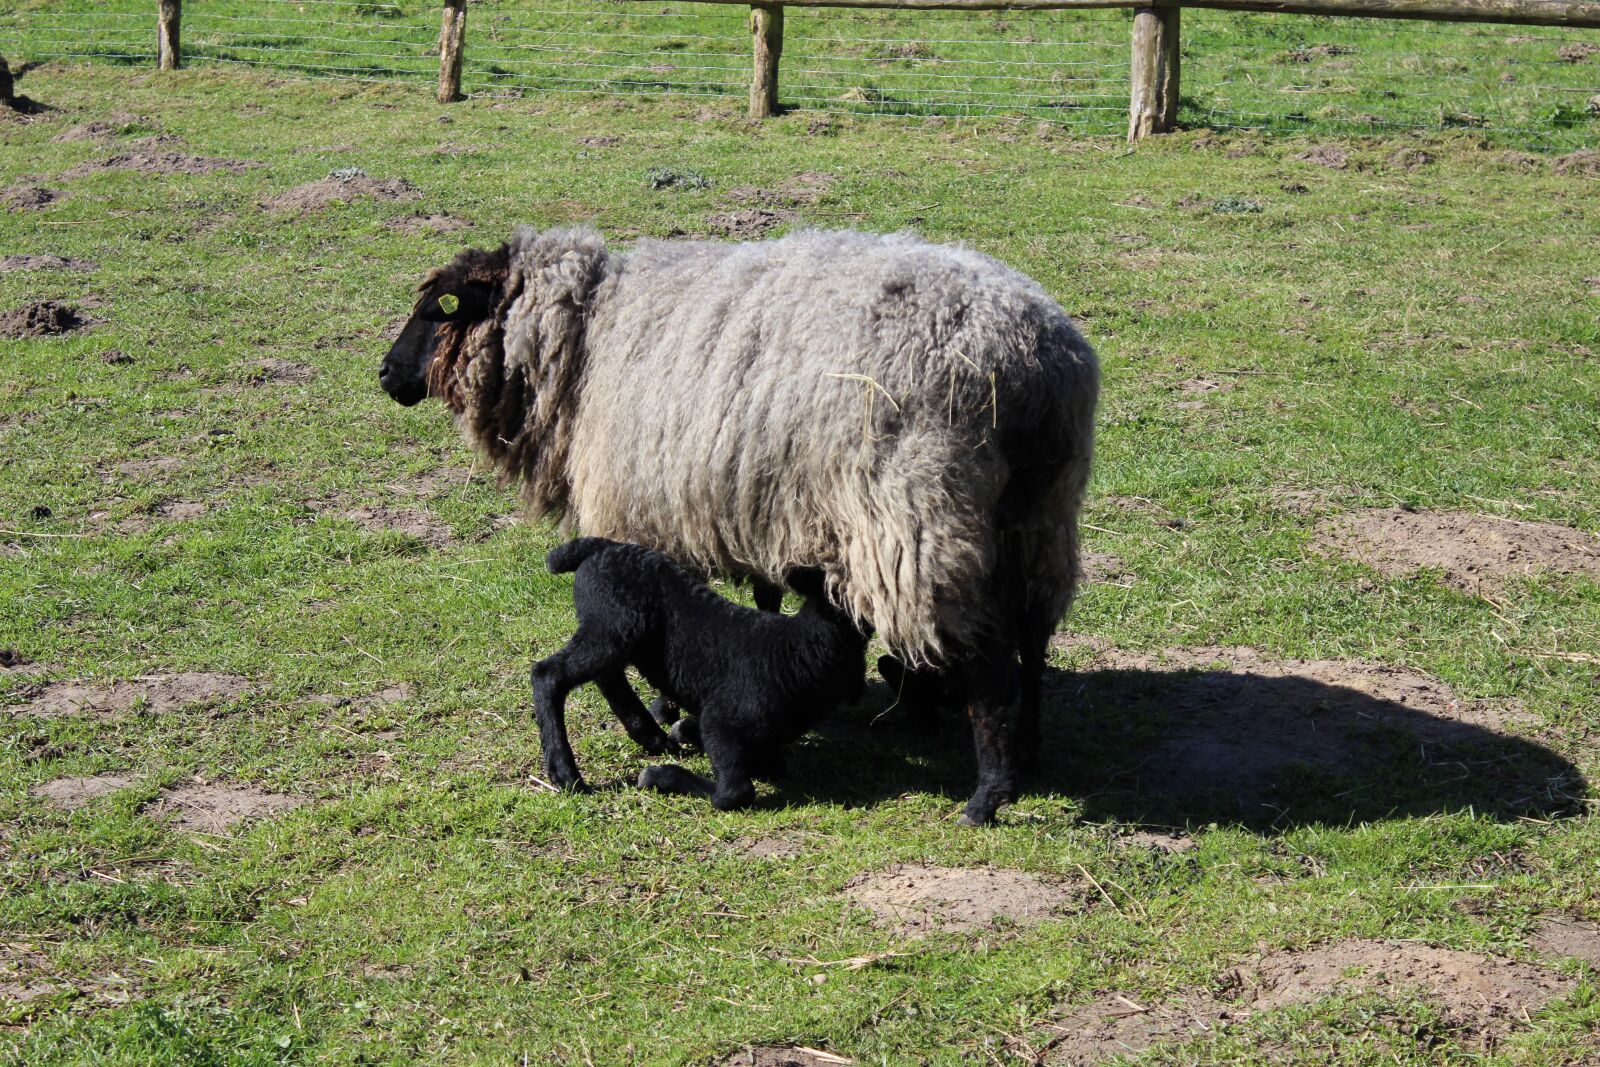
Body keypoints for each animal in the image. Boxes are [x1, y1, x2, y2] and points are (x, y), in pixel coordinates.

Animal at [534, 537, 868, 809]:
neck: (798, 647)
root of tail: (602, 547)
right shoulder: (721, 723)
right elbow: (733, 794)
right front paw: (659, 776)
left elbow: (767, 765)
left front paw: (683, 732)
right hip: (612, 627)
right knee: (549, 674)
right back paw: (566, 774)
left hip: (611, 633)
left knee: (607, 676)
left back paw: (653, 738)